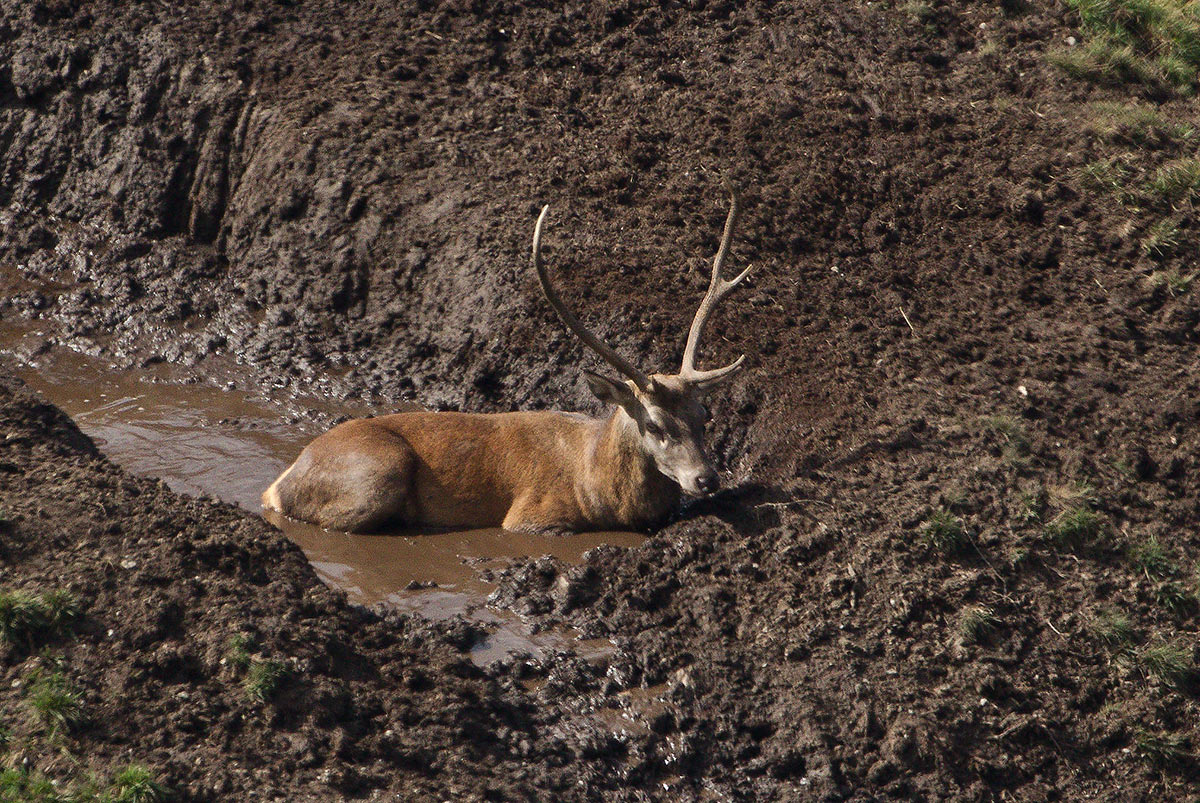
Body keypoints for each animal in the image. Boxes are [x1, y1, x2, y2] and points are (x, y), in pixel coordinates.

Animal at [261, 191, 753, 534]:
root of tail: (279, 484)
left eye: (705, 415)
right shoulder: (531, 514)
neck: (596, 483)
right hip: (378, 472)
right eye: (653, 424)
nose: (707, 479)